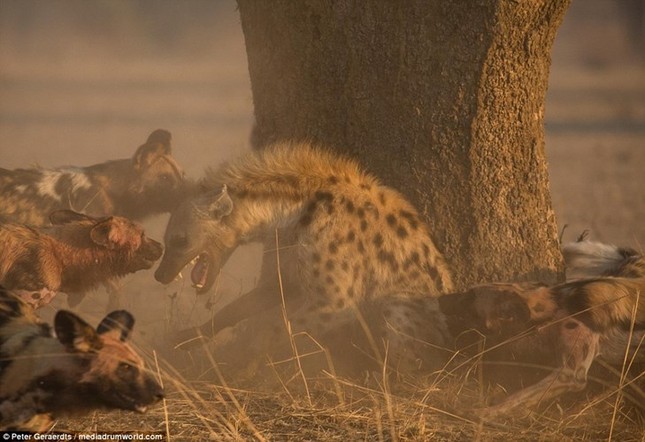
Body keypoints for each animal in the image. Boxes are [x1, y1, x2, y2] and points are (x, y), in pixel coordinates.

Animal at [155, 143, 452, 372]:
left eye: (179, 240)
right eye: (166, 240)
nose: (159, 275)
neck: (289, 215)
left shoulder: (336, 300)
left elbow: (277, 328)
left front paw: (241, 368)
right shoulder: (286, 271)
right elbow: (240, 306)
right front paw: (188, 337)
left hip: (402, 305)